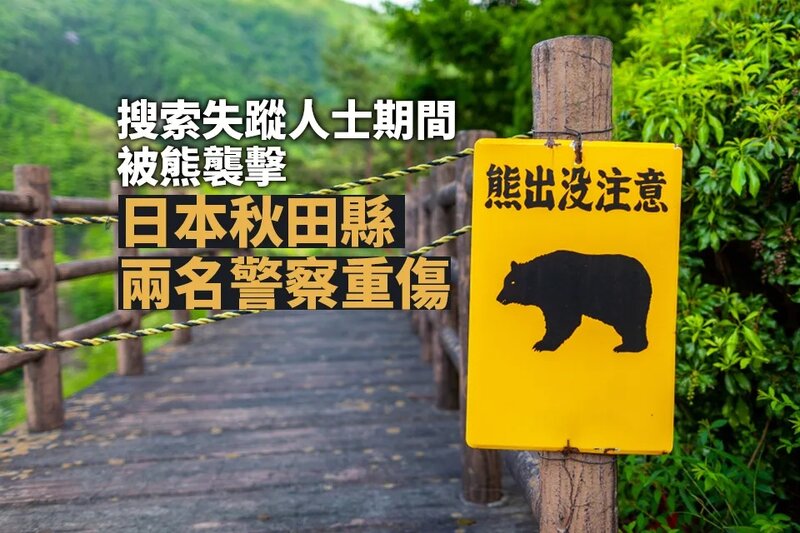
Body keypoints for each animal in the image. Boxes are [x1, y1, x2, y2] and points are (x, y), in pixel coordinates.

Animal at [496, 250, 652, 353]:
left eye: (512, 282)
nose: (498, 297)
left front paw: (542, 344)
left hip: (626, 299)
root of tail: (645, 273)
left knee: (631, 322)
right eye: (505, 281)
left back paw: (629, 347)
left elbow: (564, 319)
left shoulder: (562, 293)